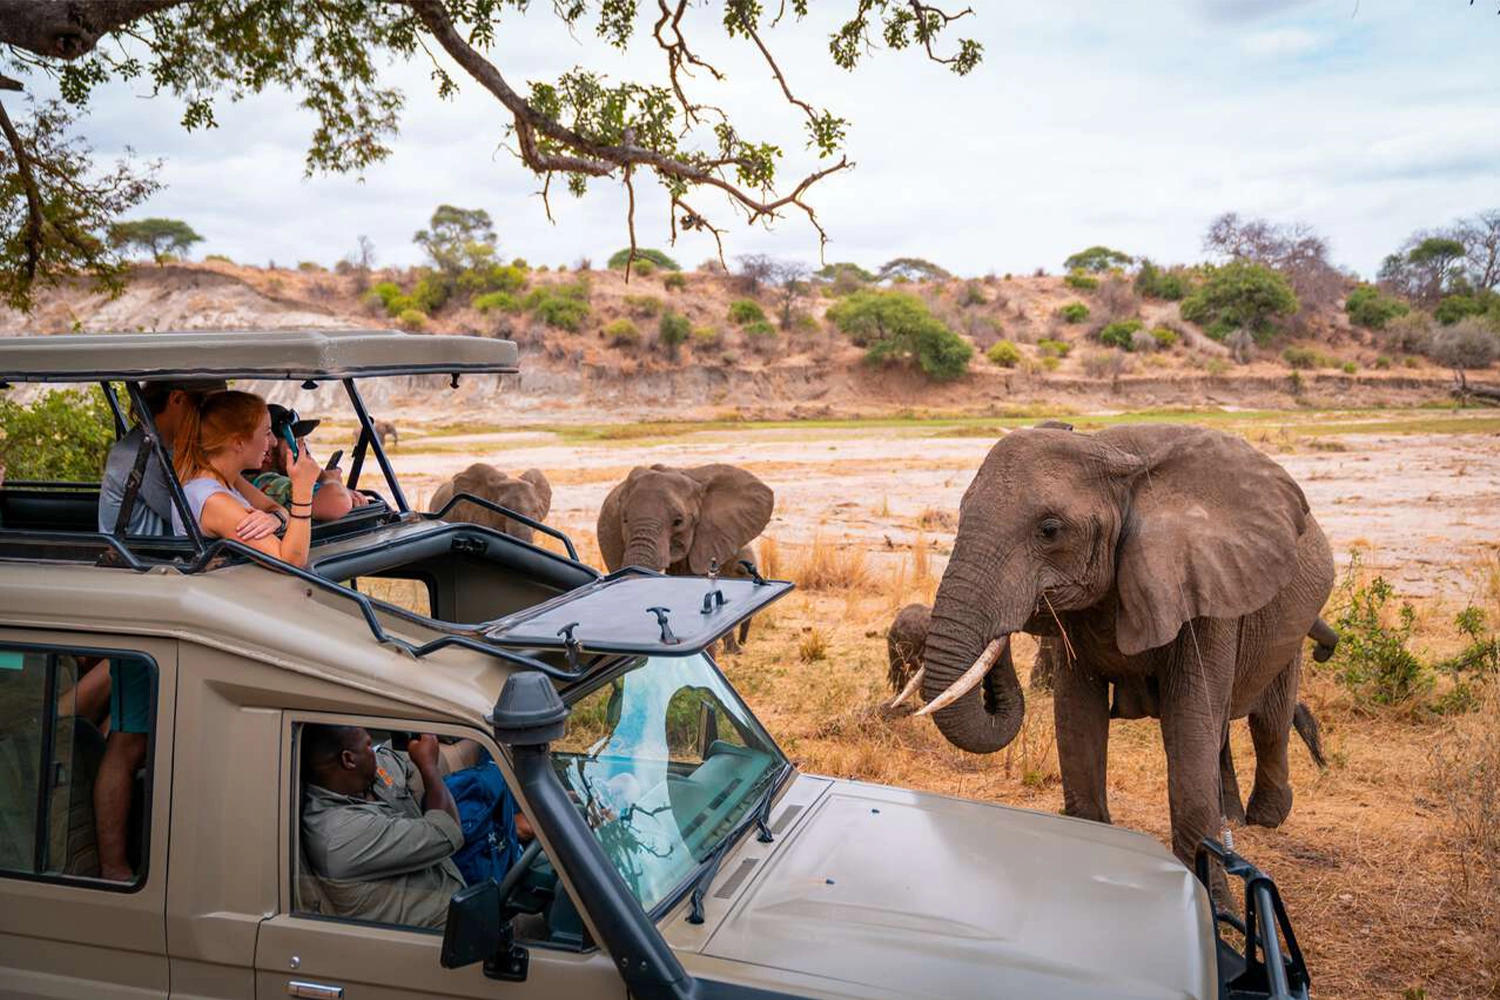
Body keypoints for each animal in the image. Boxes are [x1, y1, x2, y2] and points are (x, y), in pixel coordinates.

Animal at [912, 422, 1338, 869]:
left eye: (1049, 530)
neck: (1113, 454)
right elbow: (1078, 720)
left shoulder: (1206, 587)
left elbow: (1189, 725)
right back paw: (1236, 819)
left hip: (1289, 621)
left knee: (1269, 720)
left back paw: (1265, 817)